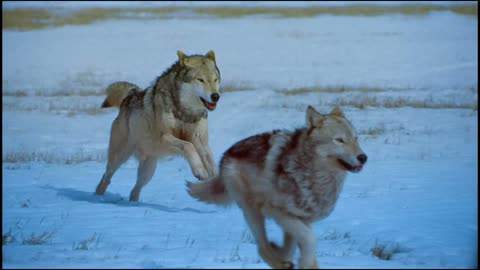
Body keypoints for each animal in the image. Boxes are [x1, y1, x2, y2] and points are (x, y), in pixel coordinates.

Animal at [96, 50, 223, 201]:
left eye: (215, 79)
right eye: (201, 80)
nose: (215, 96)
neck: (185, 113)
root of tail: (131, 95)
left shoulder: (200, 140)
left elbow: (211, 163)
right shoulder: (165, 137)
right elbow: (188, 146)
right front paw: (200, 171)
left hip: (148, 171)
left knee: (134, 190)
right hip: (119, 157)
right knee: (106, 178)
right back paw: (97, 198)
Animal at [188, 105, 368, 268]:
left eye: (356, 138)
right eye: (339, 140)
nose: (363, 157)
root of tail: (226, 154)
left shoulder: (302, 218)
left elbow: (299, 244)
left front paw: (302, 261)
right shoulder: (275, 210)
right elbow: (310, 240)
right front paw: (304, 262)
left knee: (277, 248)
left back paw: (281, 257)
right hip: (253, 211)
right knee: (261, 247)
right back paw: (281, 261)